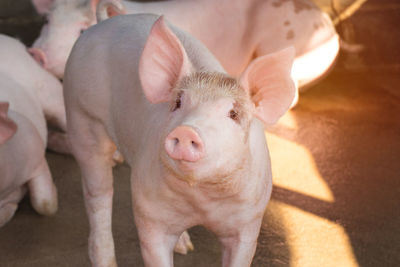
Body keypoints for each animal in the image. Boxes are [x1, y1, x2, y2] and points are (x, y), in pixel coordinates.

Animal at [64, 13, 296, 266]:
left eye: (234, 113)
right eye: (177, 103)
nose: (187, 131)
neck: (200, 199)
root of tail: (104, 22)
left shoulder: (249, 221)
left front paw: (188, 250)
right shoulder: (149, 214)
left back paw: (185, 247)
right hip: (81, 116)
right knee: (99, 194)